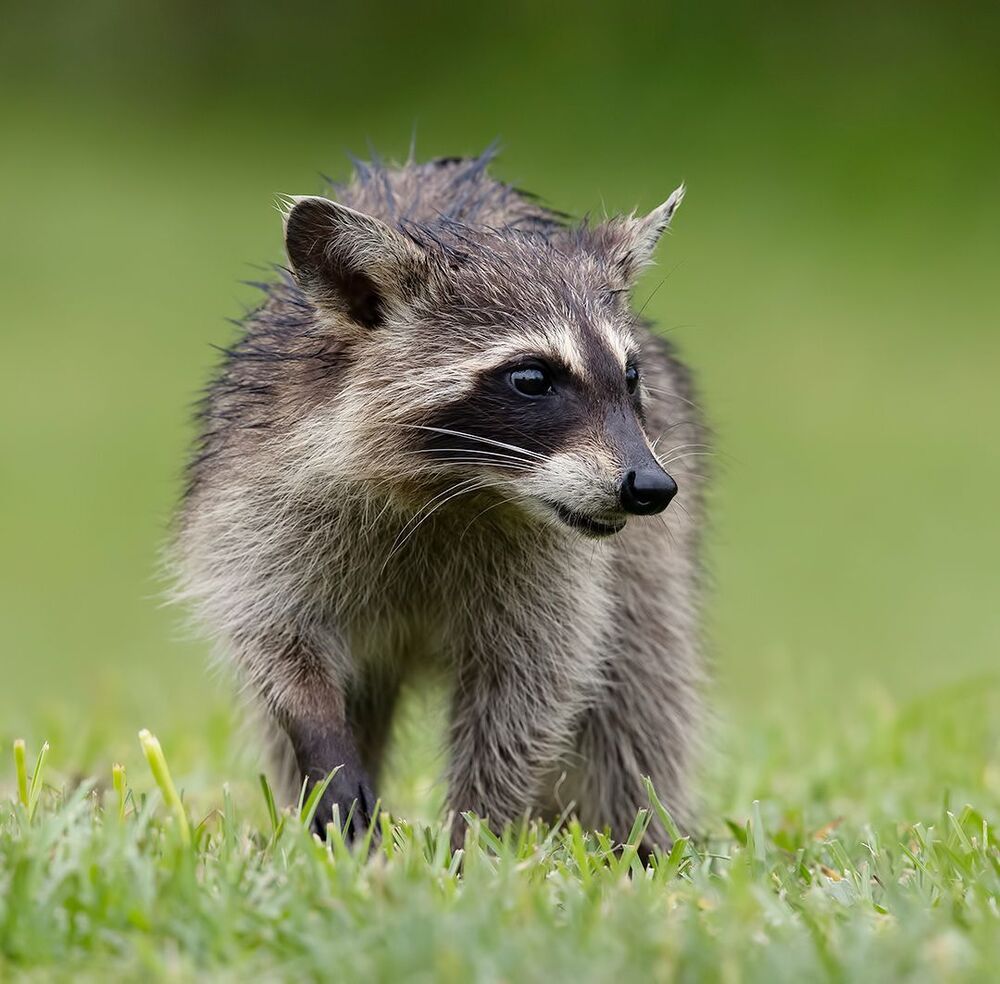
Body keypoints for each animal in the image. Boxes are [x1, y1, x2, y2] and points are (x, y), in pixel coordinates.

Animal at [174, 149, 708, 855]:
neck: (457, 485)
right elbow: (271, 637)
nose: (651, 488)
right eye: (532, 378)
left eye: (630, 375)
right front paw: (323, 743)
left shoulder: (552, 566)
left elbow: (529, 691)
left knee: (644, 692)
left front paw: (473, 839)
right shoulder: (258, 493)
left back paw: (640, 838)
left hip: (651, 566)